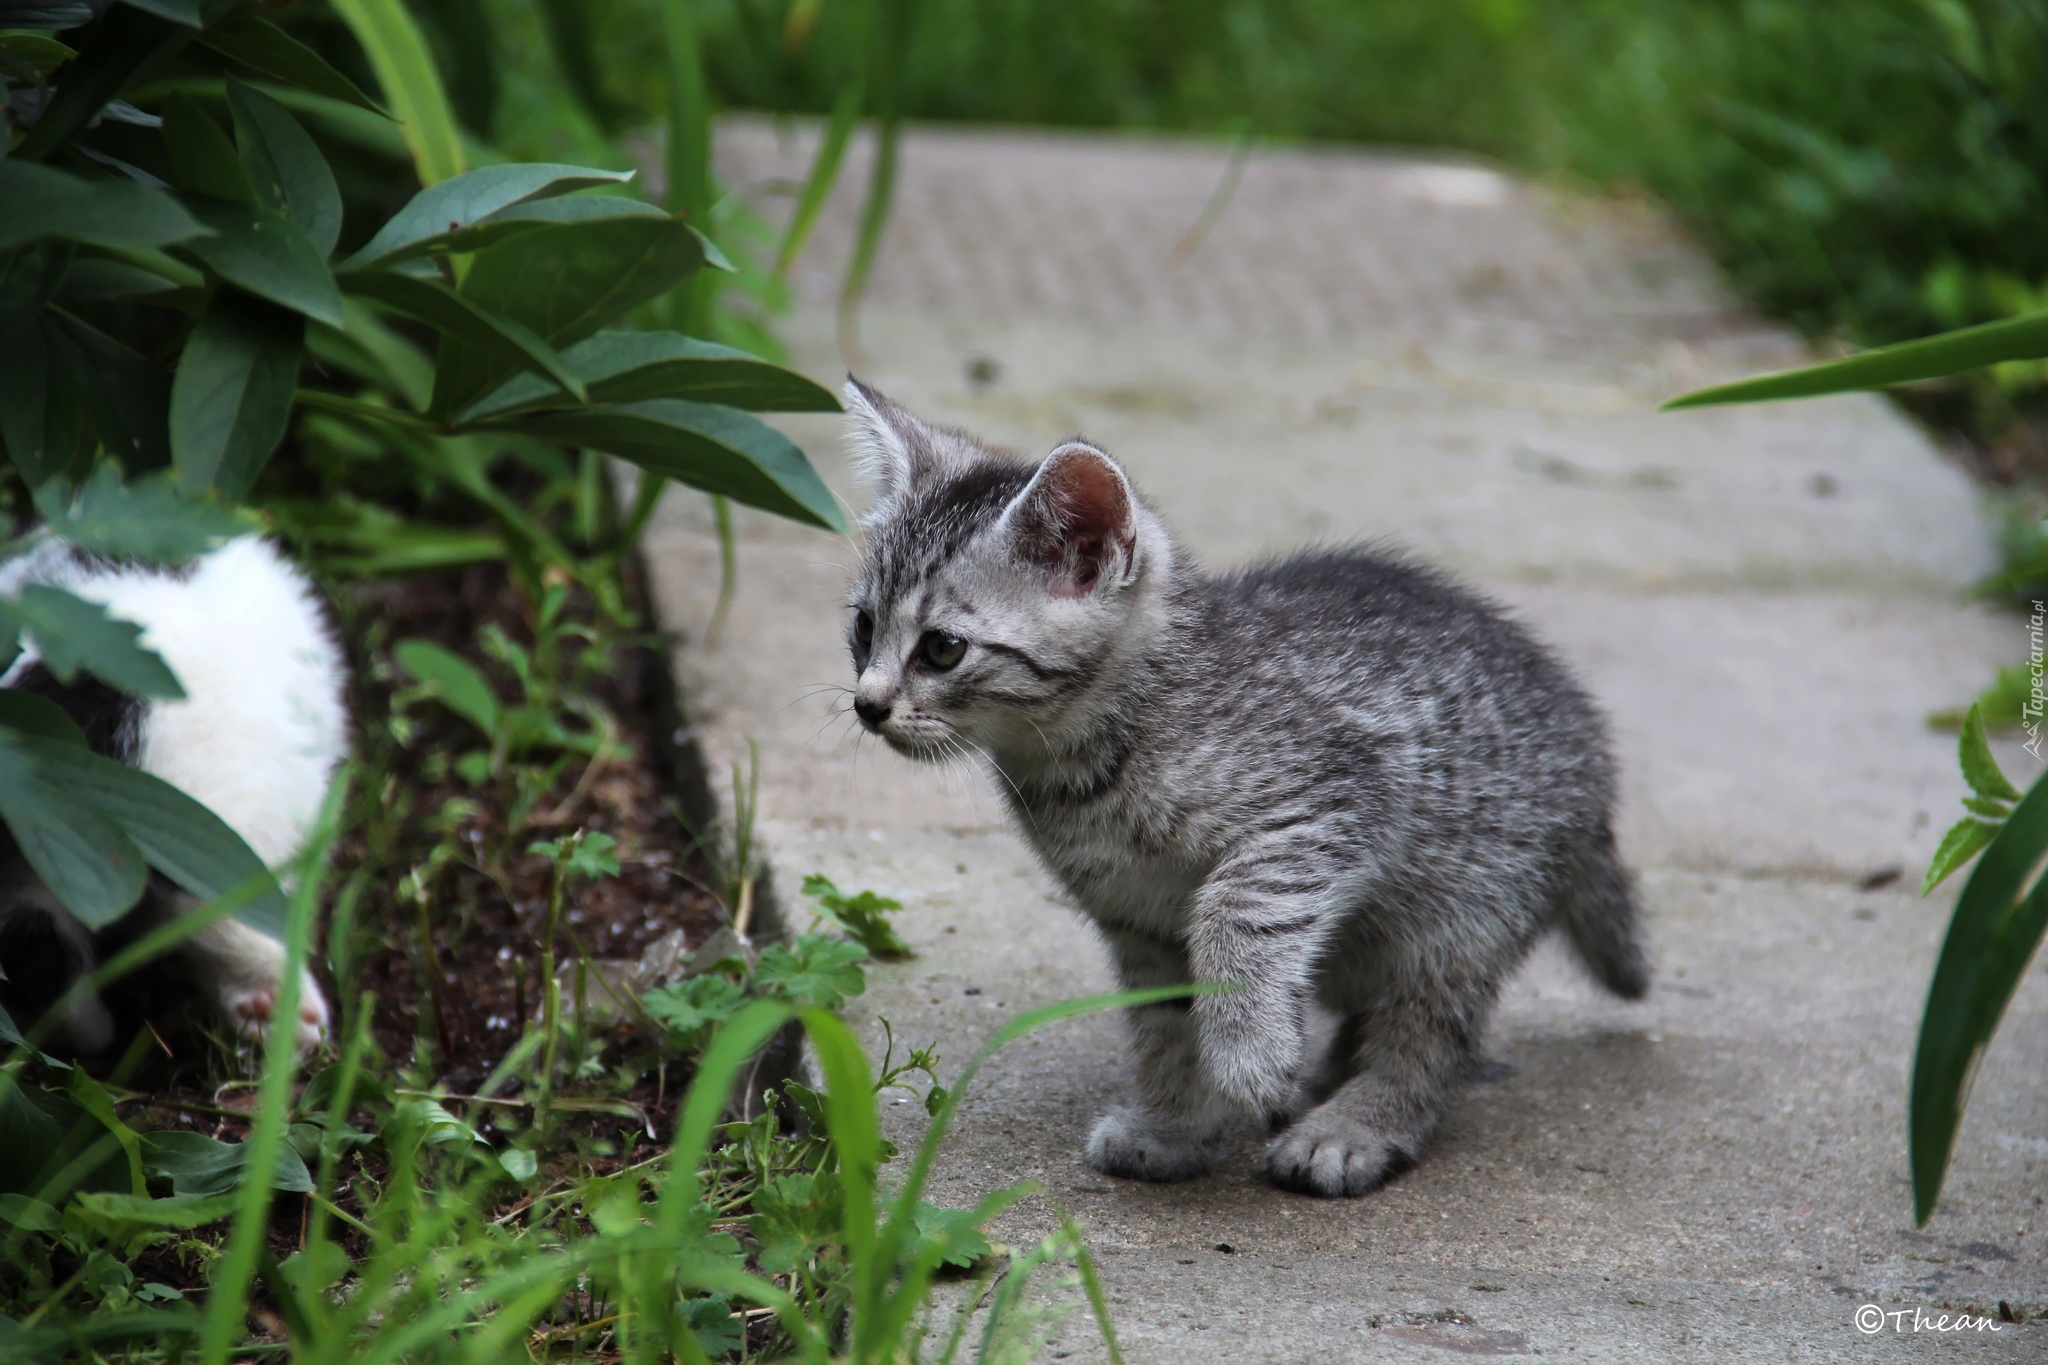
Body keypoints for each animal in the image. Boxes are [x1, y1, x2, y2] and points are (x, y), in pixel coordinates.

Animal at [835, 382, 1646, 1195]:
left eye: (943, 648)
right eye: (863, 628)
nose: (867, 705)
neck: (1088, 765)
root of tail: (1587, 745)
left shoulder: (1325, 803)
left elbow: (1235, 912)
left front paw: (1250, 1055)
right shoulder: (1136, 918)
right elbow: (1163, 1025)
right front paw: (1173, 1124)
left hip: (1464, 912)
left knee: (1427, 1030)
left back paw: (1354, 1124)